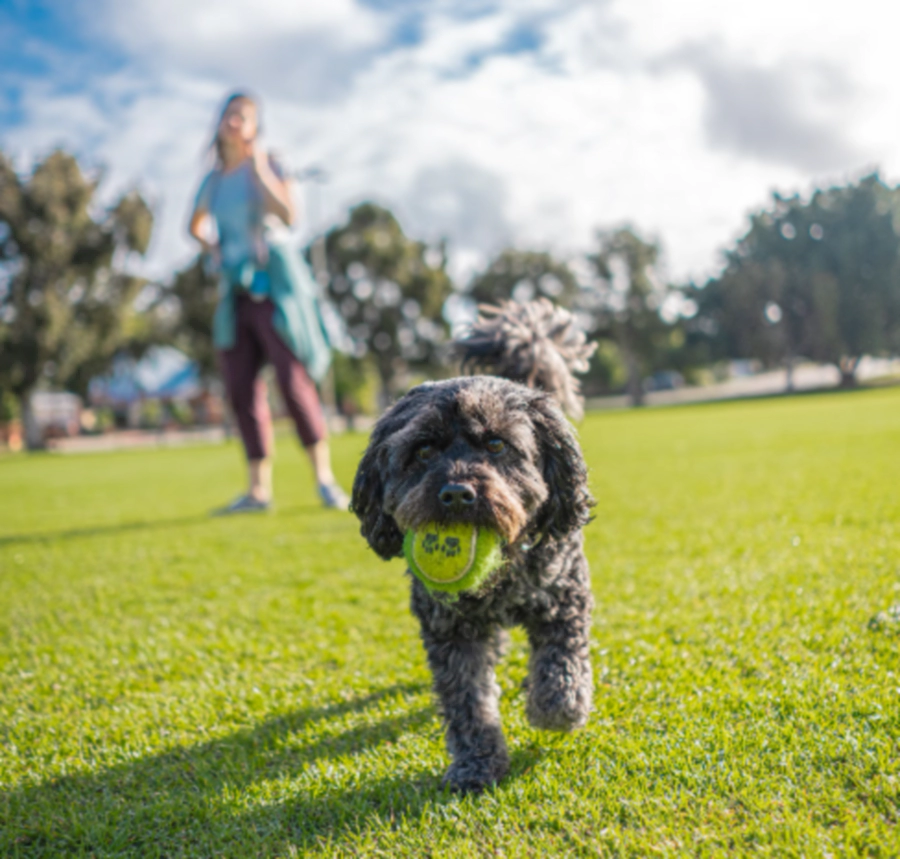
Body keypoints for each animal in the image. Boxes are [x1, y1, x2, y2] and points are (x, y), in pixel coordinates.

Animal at [352, 380, 596, 796]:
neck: (501, 572)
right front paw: (476, 764)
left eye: (496, 444)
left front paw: (556, 707)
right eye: (423, 450)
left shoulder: (565, 596)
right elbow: (468, 704)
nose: (456, 493)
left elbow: (561, 659)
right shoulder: (449, 632)